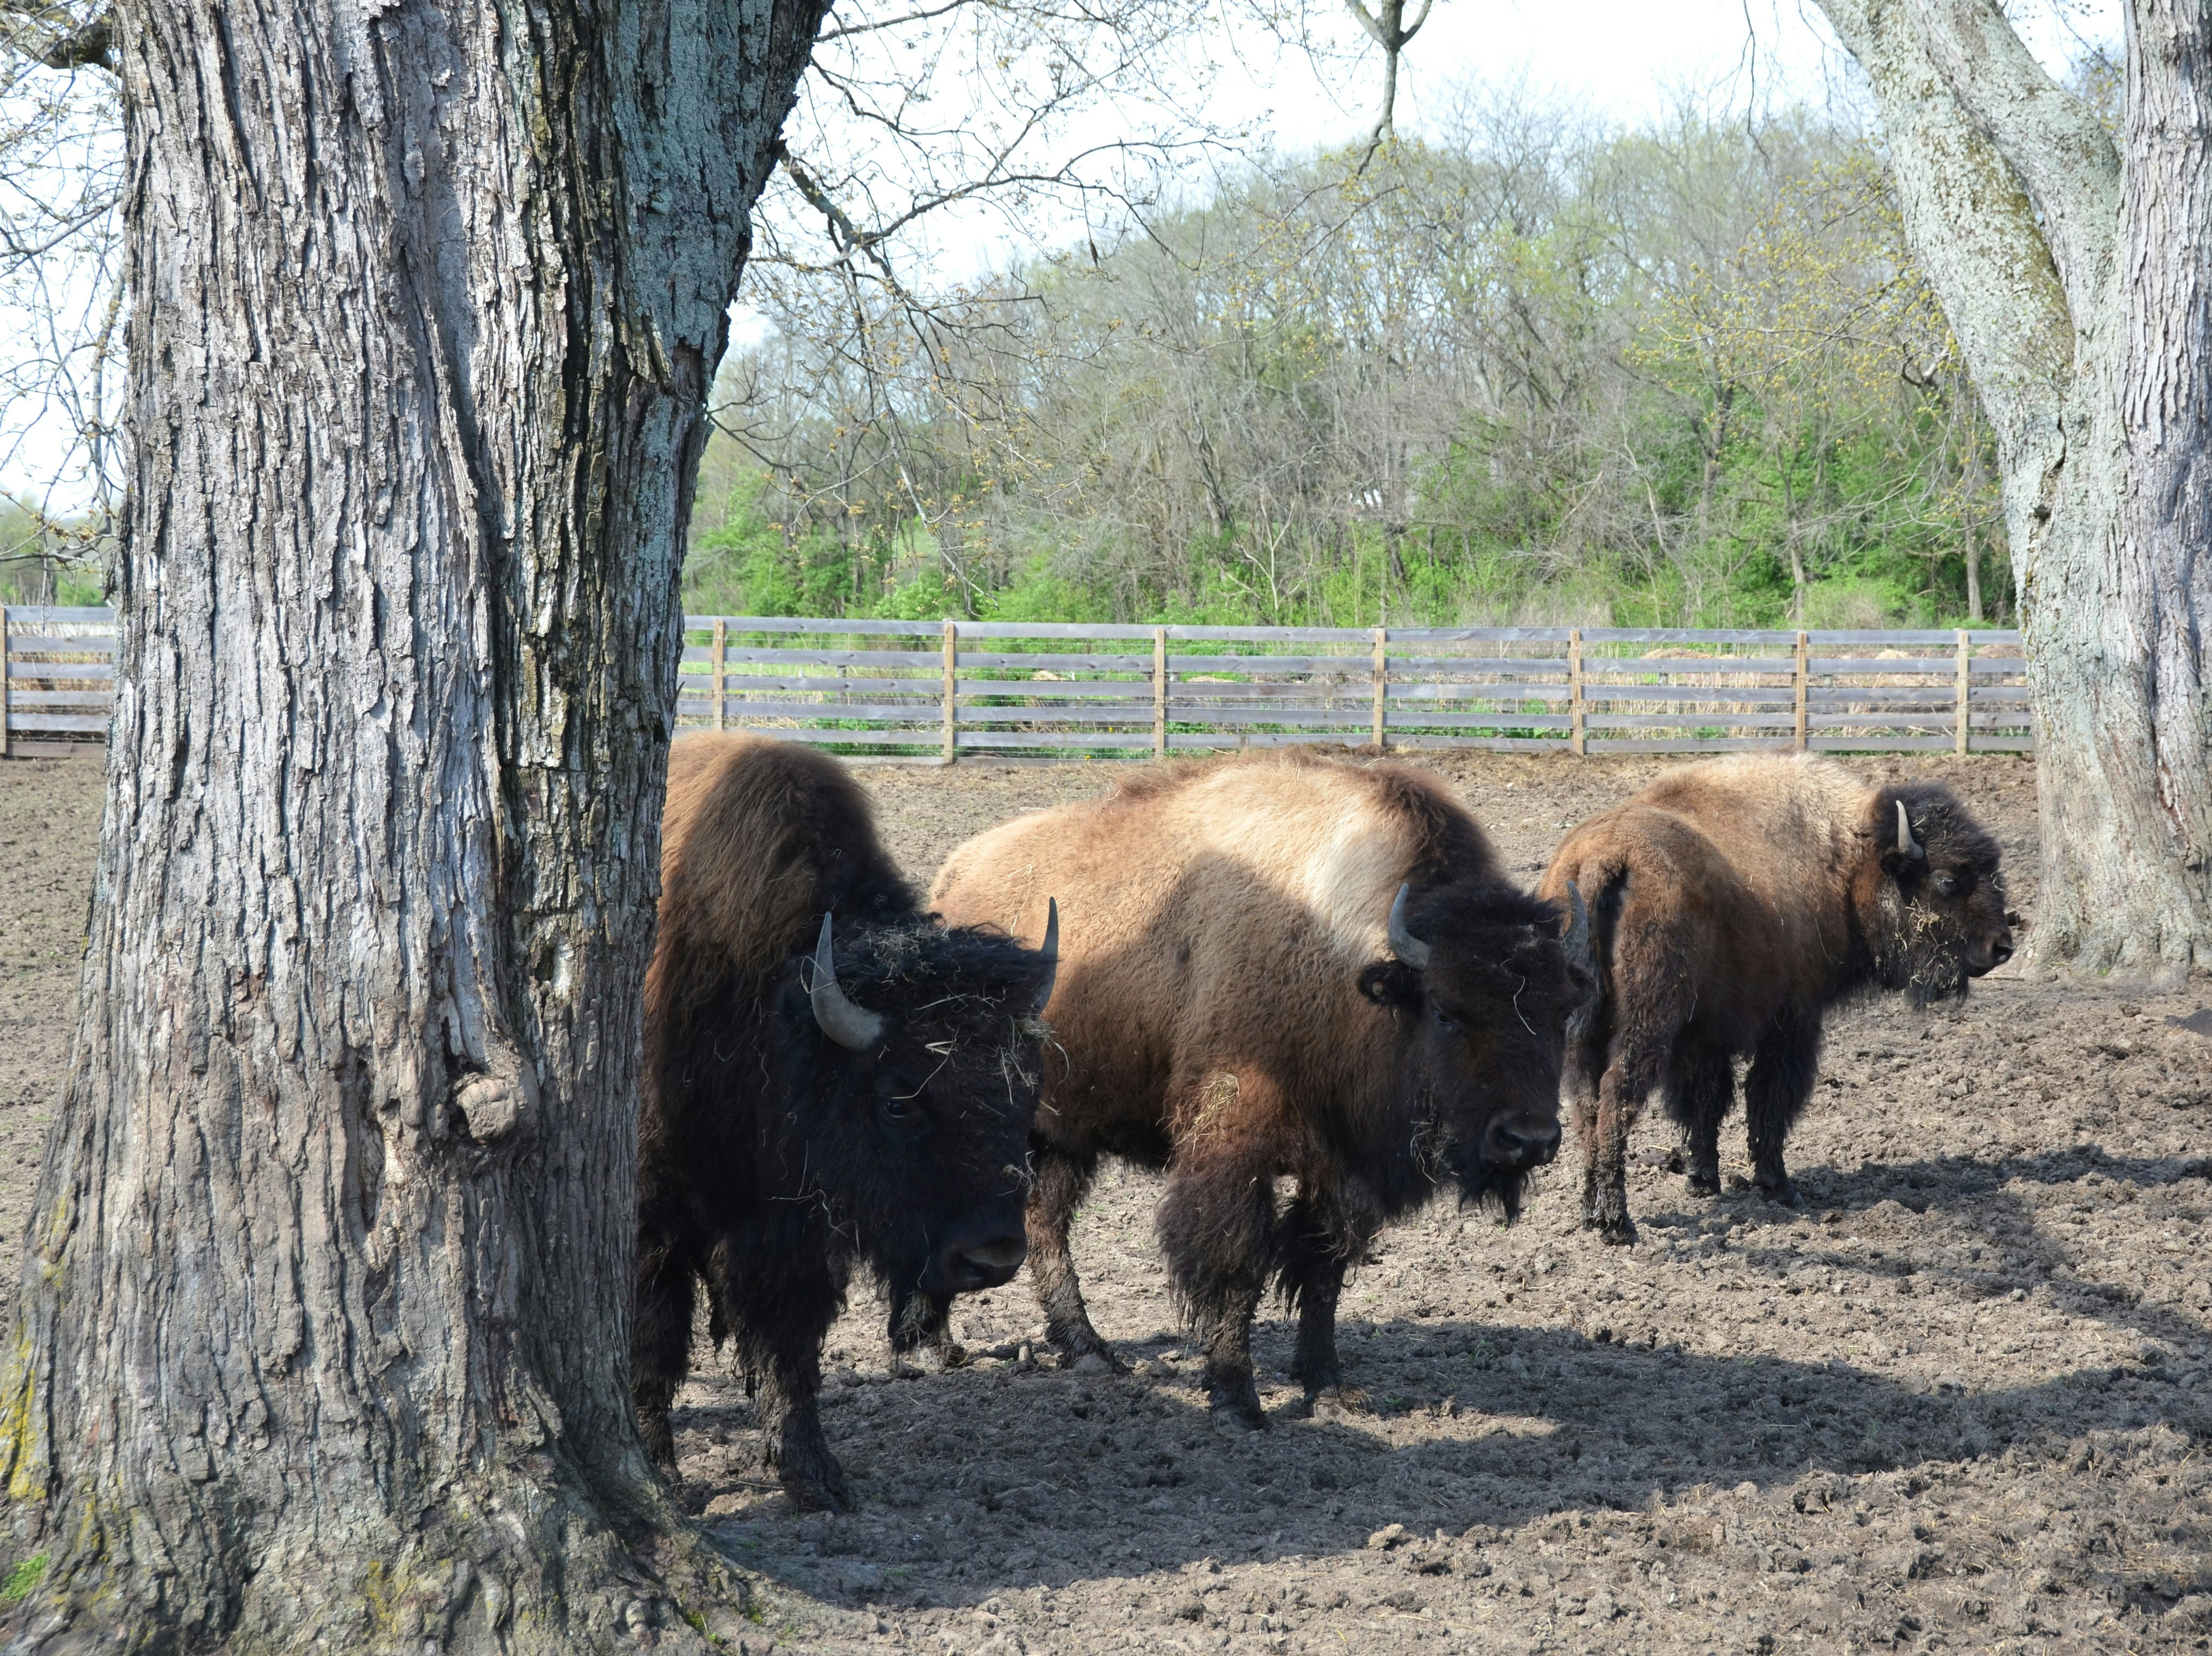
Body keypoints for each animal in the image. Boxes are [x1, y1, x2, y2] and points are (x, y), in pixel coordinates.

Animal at [635, 734, 1058, 1510]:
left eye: (1027, 1088)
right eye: (898, 1100)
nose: (991, 1258)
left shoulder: (794, 1223)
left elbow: (788, 1339)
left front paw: (815, 1475)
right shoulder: (652, 1219)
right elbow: (653, 1339)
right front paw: (664, 1478)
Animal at [929, 751, 1593, 1430]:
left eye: (1564, 1008)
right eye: (1445, 1011)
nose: (1527, 1139)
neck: (1340, 958)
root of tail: (952, 879)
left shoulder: (1341, 1169)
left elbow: (1323, 1267)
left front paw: (1328, 1386)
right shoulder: (1235, 1143)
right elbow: (1237, 1263)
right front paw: (1237, 1396)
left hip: (1064, 1132)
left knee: (1044, 1220)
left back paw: (1088, 1351)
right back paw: (945, 1347)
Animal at [1539, 753, 2011, 1243]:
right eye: (1947, 878)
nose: (2001, 946)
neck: (1844, 858)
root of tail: (1601, 857)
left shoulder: (1703, 1033)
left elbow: (1706, 1100)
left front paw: (1703, 1179)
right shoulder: (1792, 1021)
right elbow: (1769, 1097)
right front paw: (1778, 1185)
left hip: (1581, 1031)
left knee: (1585, 1103)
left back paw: (1590, 1211)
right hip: (1644, 1023)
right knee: (1617, 1093)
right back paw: (1618, 1223)